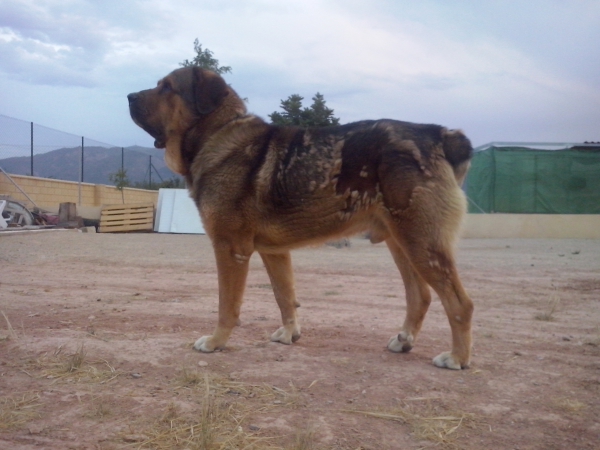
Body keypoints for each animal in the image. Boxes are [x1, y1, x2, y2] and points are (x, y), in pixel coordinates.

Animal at [129, 67, 476, 370]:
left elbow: (228, 305)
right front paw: (289, 334)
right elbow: (285, 296)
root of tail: (442, 135)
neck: (216, 133)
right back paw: (404, 341)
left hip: (422, 245)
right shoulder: (274, 252)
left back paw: (457, 358)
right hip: (402, 243)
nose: (129, 96)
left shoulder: (230, 249)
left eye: (167, 87)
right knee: (421, 296)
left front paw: (216, 342)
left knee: (460, 304)